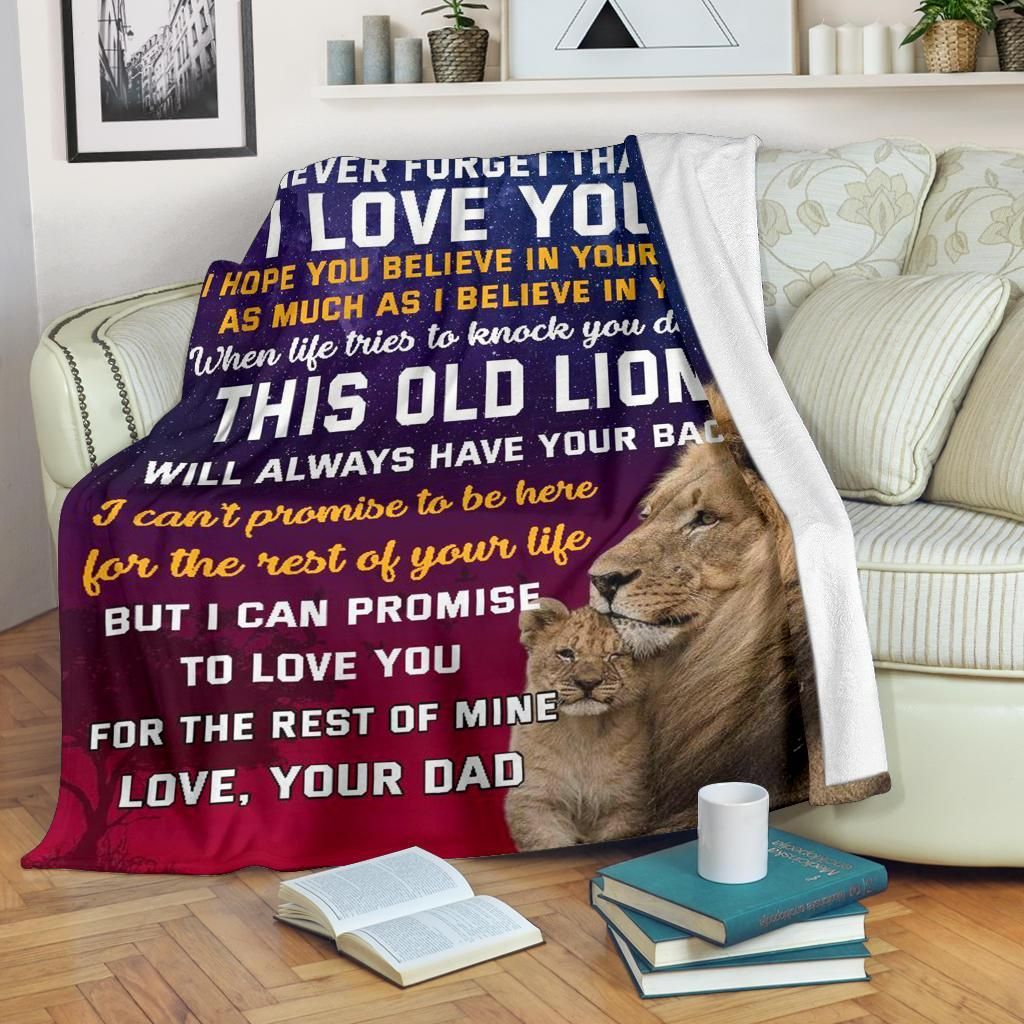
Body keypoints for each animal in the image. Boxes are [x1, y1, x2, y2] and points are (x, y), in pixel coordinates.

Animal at [504, 600, 651, 851]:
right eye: (567, 654)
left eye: (614, 655)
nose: (588, 683)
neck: (584, 732)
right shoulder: (535, 801)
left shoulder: (629, 804)